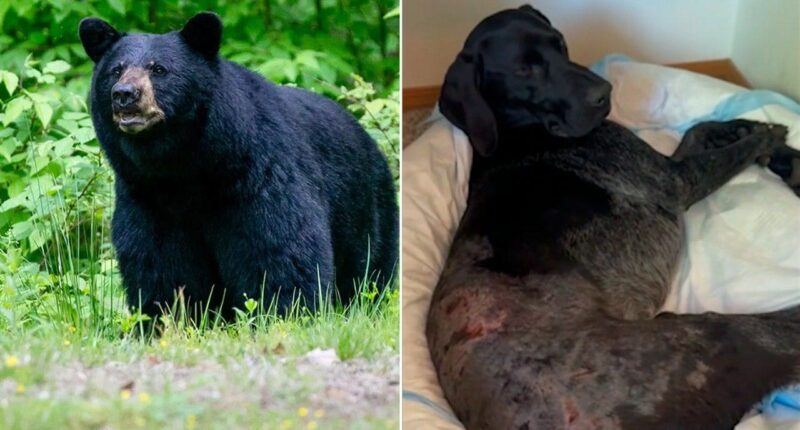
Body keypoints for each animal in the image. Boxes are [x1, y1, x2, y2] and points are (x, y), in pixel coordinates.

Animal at [77, 12, 398, 319]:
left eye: (159, 69)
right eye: (115, 70)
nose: (124, 94)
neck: (187, 168)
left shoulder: (259, 175)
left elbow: (278, 247)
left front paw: (285, 314)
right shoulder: (148, 197)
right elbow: (158, 260)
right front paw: (165, 320)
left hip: (367, 207)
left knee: (369, 269)